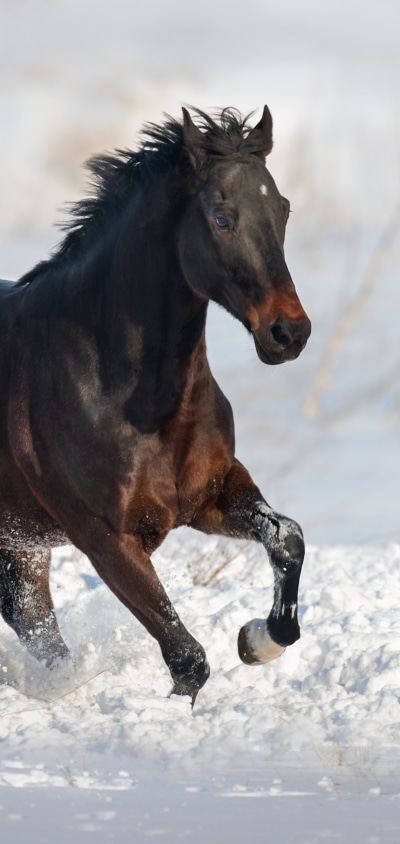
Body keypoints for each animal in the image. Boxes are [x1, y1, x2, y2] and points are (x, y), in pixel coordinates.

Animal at [0, 106, 311, 704]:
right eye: (221, 217)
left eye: (283, 209)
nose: (290, 334)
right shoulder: (106, 539)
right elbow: (187, 658)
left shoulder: (214, 495)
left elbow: (287, 538)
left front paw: (257, 640)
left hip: (21, 555)